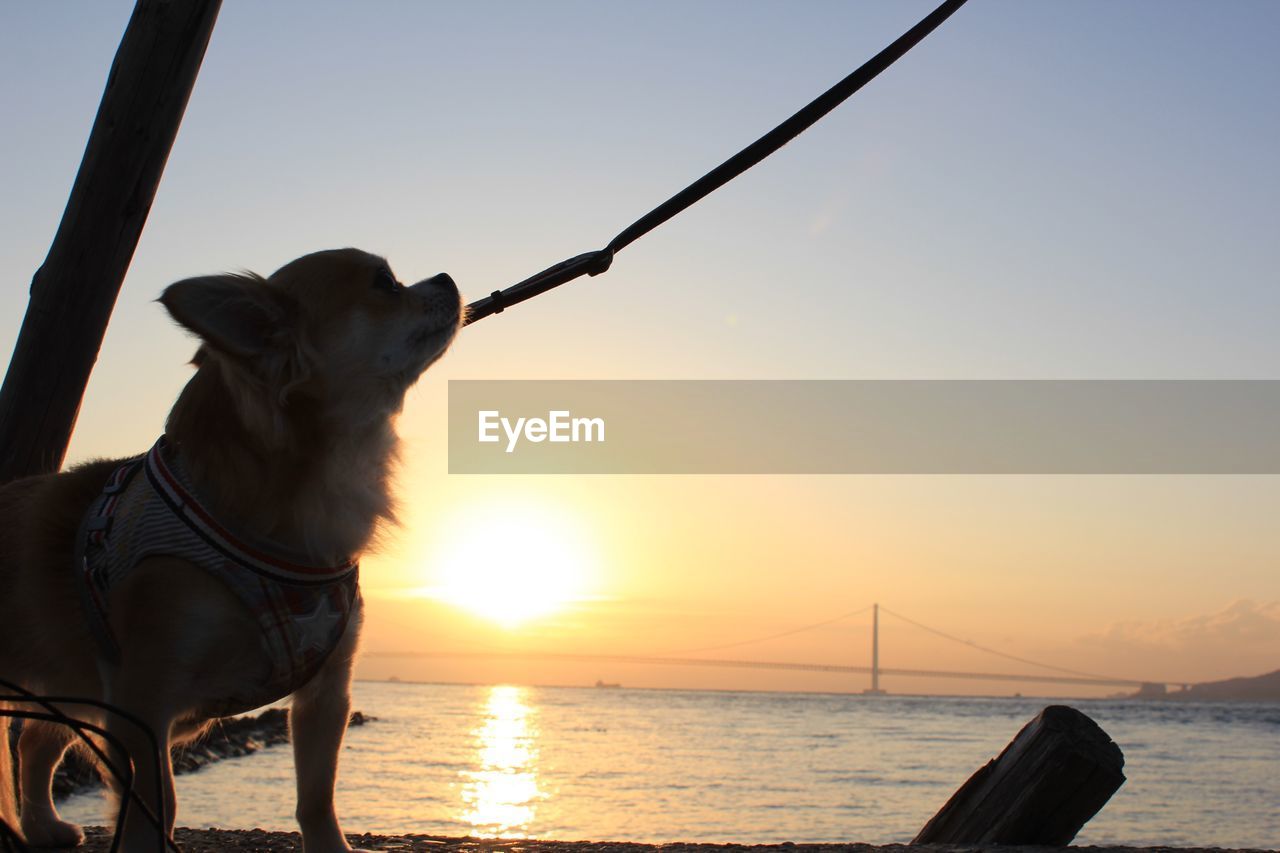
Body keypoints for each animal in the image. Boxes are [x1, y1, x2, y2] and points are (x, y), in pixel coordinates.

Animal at [0, 247, 460, 850]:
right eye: (385, 283)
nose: (447, 278)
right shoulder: (141, 699)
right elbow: (158, 804)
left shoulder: (327, 690)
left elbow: (318, 795)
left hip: (74, 679)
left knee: (35, 741)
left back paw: (43, 826)